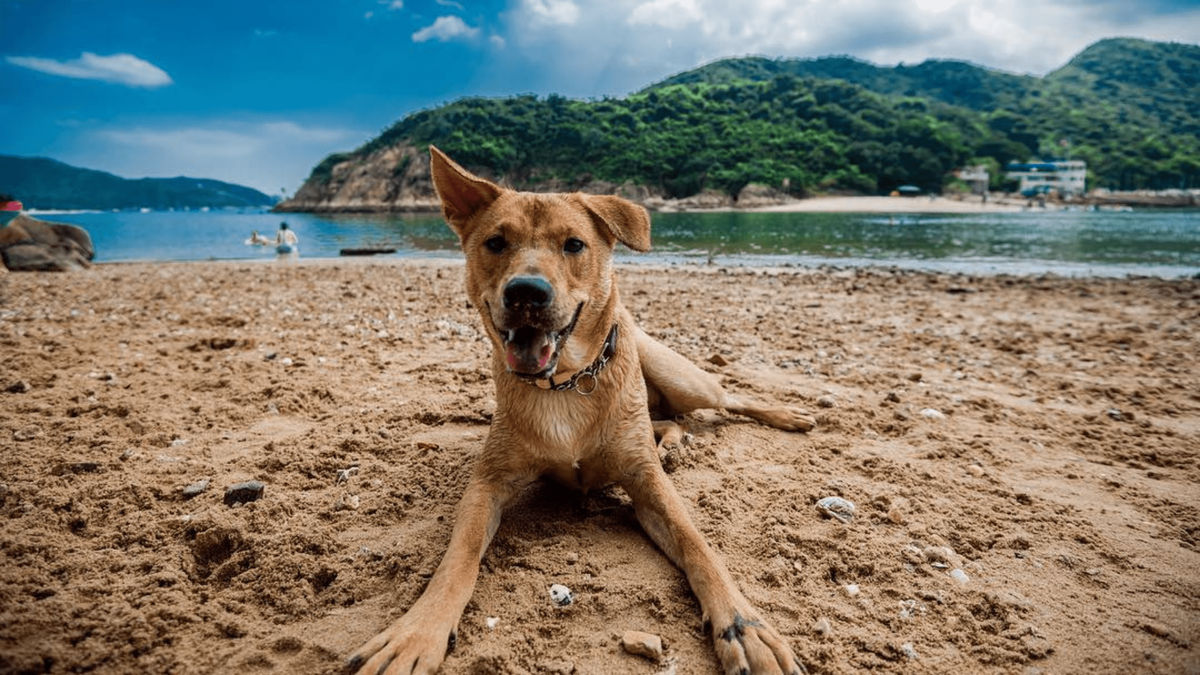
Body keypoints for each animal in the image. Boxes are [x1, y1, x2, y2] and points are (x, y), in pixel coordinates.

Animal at [350, 147, 816, 672]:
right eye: (496, 242)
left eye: (574, 244)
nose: (526, 292)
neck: (566, 383)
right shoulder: (488, 482)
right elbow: (458, 557)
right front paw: (417, 632)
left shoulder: (647, 483)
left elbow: (698, 545)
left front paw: (744, 625)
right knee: (667, 420)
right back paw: (674, 442)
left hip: (681, 378)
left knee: (725, 398)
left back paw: (787, 415)